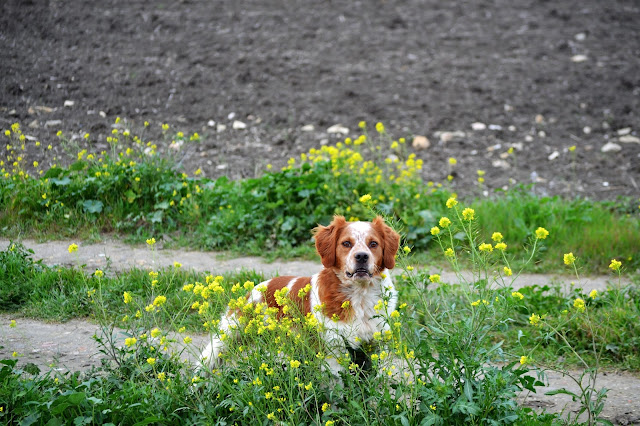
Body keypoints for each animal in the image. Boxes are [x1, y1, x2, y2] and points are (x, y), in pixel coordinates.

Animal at [200, 215, 400, 374]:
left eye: (373, 244)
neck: (360, 295)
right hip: (227, 335)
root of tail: (255, 289)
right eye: (346, 243)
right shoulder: (332, 349)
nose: (361, 256)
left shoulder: (376, 343)